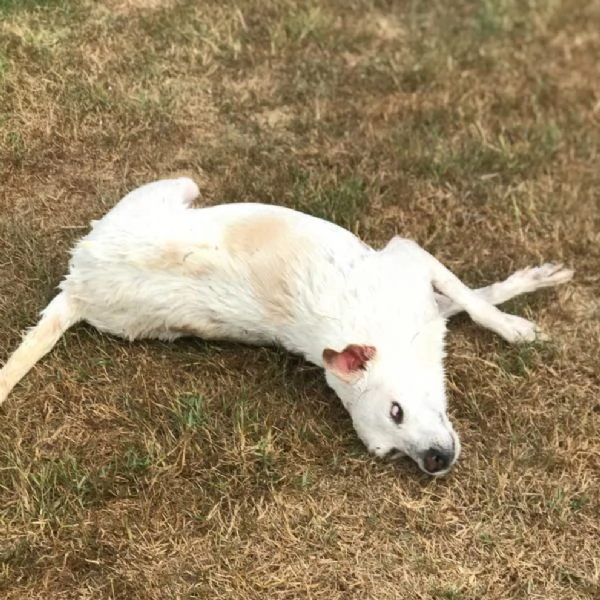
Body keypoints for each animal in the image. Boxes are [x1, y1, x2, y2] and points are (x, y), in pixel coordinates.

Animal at [0, 176, 576, 476]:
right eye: (389, 451)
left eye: (397, 410)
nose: (434, 462)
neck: (377, 333)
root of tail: (78, 283)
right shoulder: (411, 270)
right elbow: (472, 300)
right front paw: (521, 318)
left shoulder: (413, 269)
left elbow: (474, 302)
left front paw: (520, 308)